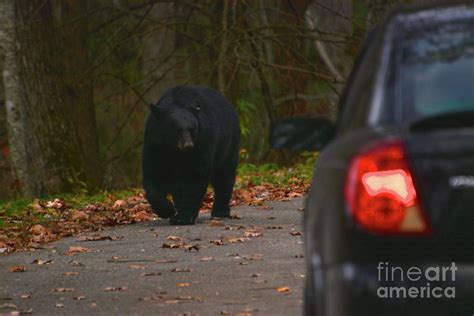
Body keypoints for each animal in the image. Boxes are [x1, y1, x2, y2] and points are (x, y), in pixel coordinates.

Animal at [143, 85, 241, 225]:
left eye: (192, 129)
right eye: (177, 130)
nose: (188, 146)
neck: (176, 150)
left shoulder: (203, 141)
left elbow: (196, 176)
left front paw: (185, 217)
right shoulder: (154, 142)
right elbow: (154, 173)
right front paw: (168, 211)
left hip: (228, 144)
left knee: (224, 177)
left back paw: (220, 212)